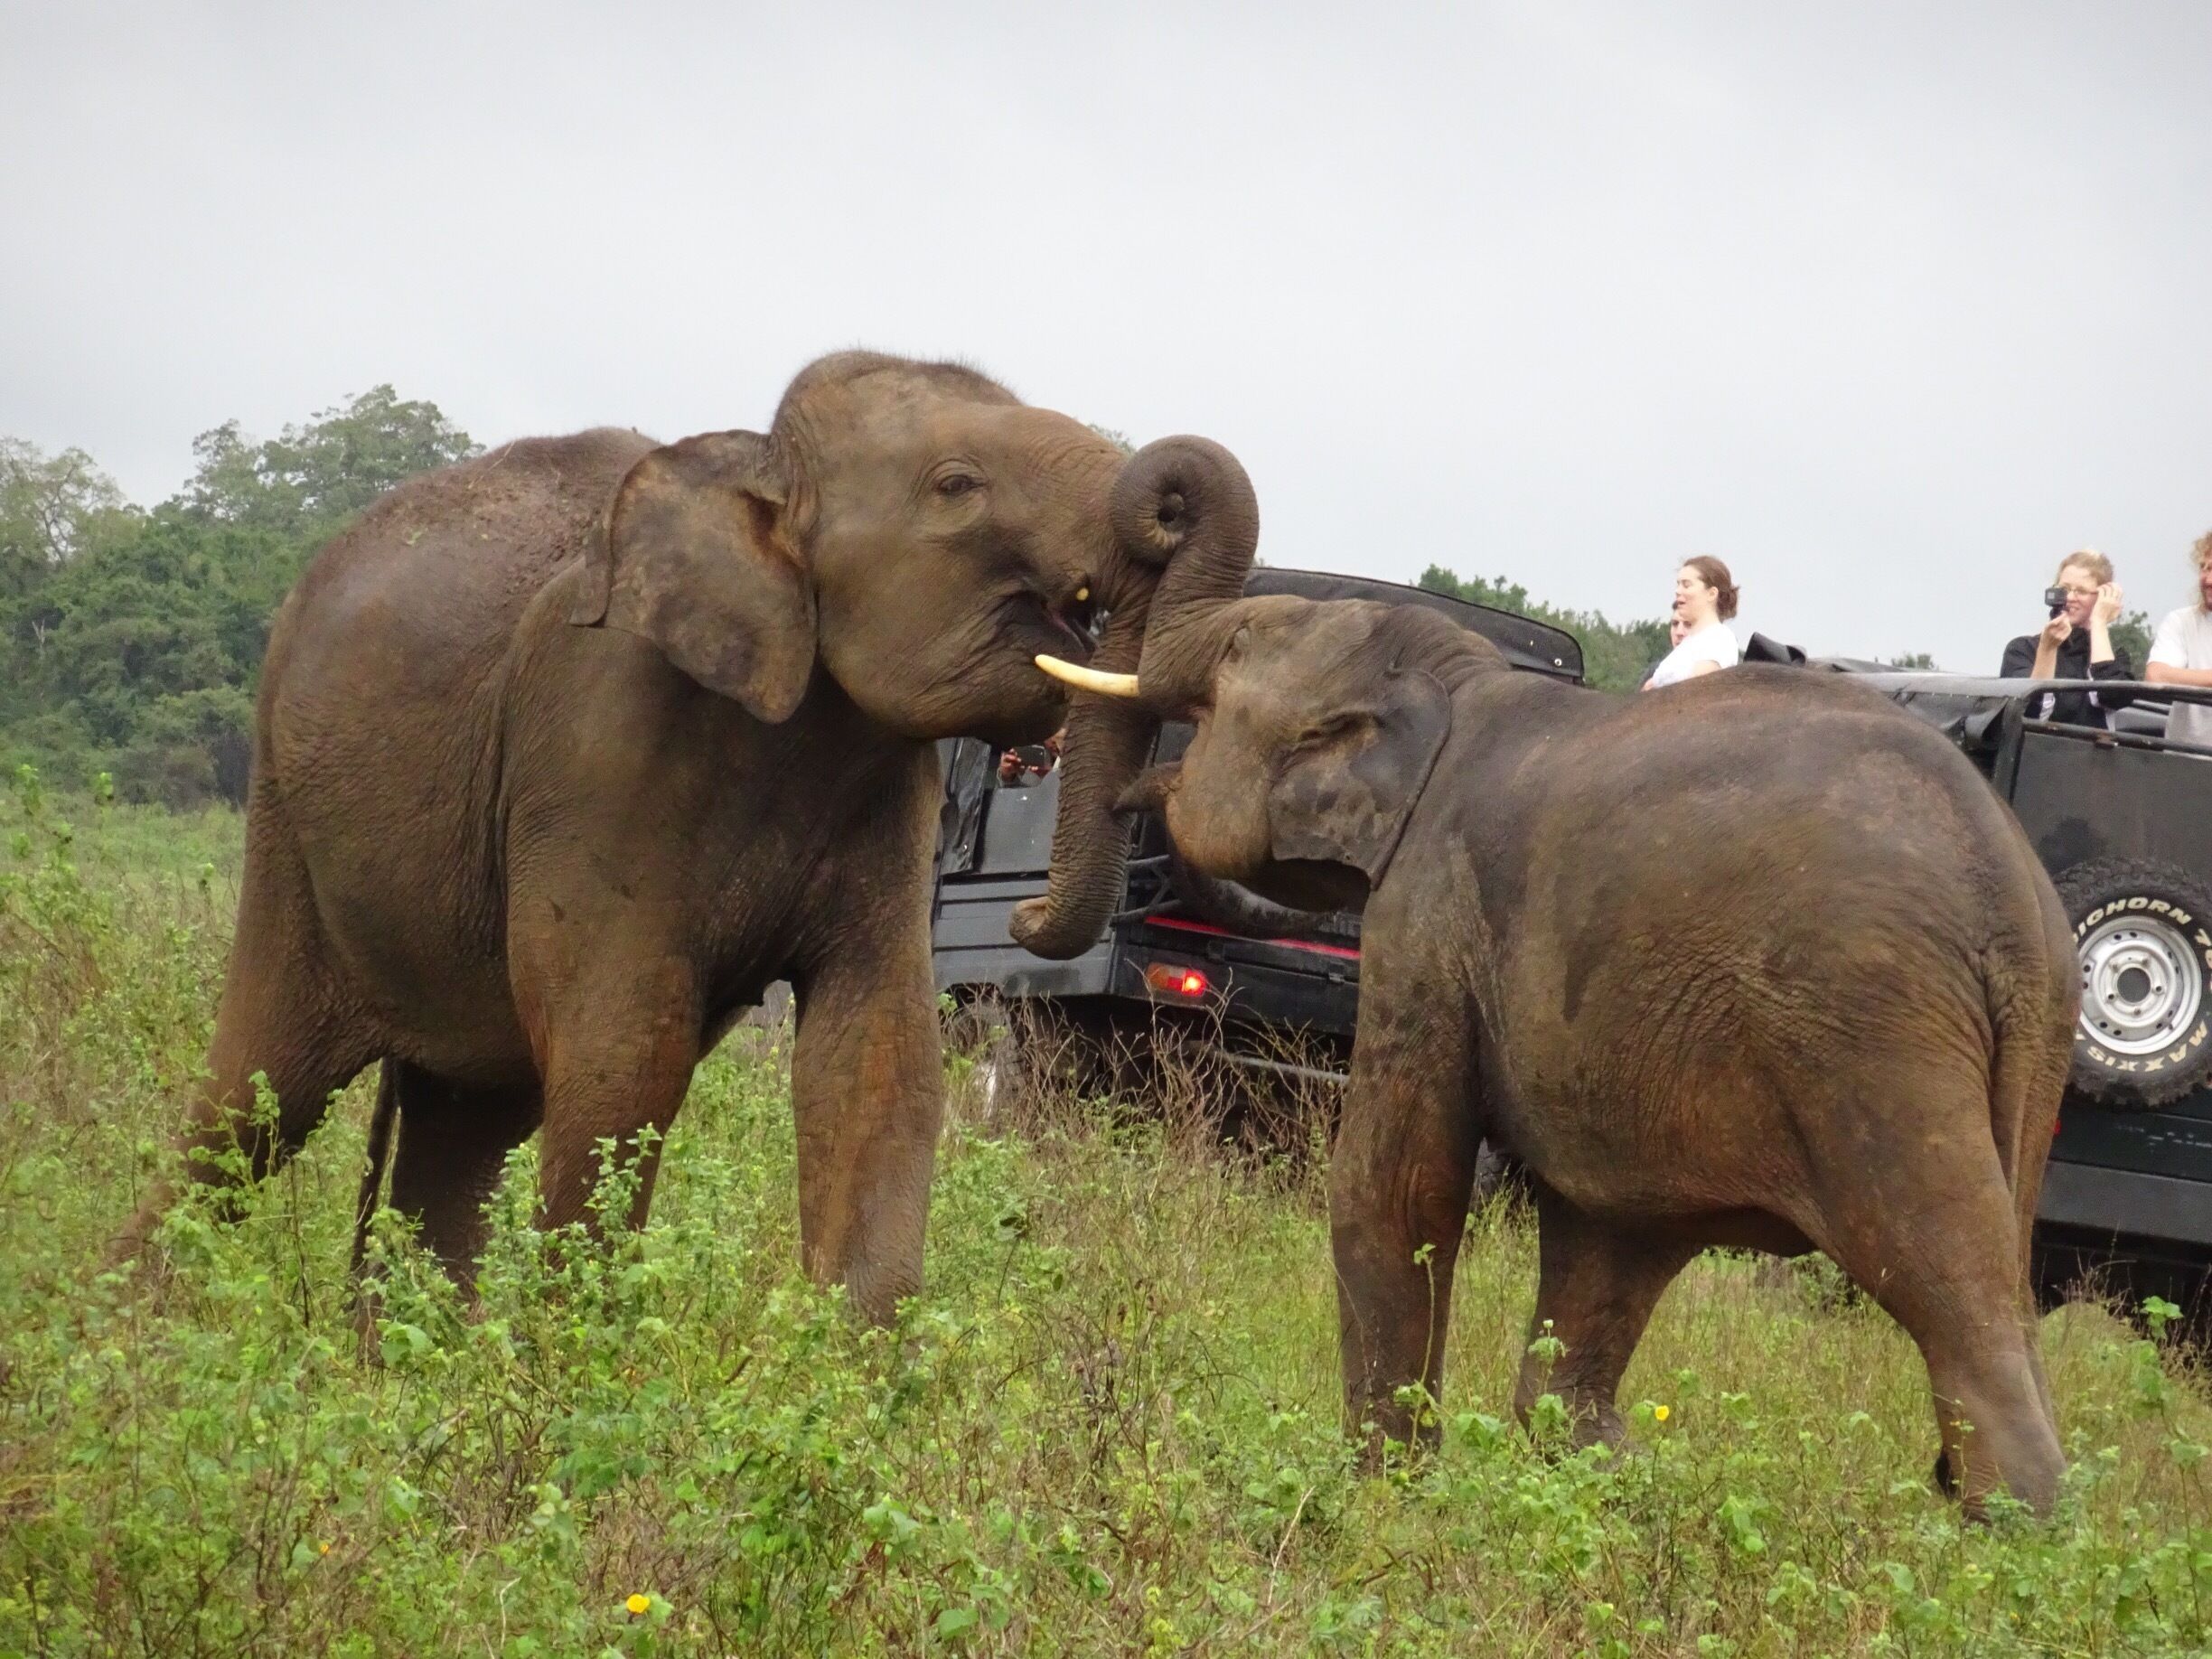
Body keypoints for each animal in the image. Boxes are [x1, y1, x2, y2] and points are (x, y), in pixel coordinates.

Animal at [115, 352, 1253, 1322]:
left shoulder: (890, 792)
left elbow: (877, 1054)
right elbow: (628, 1046)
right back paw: (133, 1338)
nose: (1021, 912)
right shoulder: (597, 741)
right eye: (956, 484)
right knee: (254, 1106)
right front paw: (572, 1383)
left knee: (466, 1121)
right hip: (288, 825)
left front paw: (849, 1393)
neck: (756, 466)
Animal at [1041, 478, 2075, 1515]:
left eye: (1235, 654)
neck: (1451, 679)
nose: (1026, 917)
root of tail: (2008, 901)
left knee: (1949, 1289)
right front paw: (1585, 1477)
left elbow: (1396, 1184)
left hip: (1872, 1035)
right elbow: (1597, 1237)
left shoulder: (1428, 911)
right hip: (2034, 1057)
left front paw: (1381, 1495)